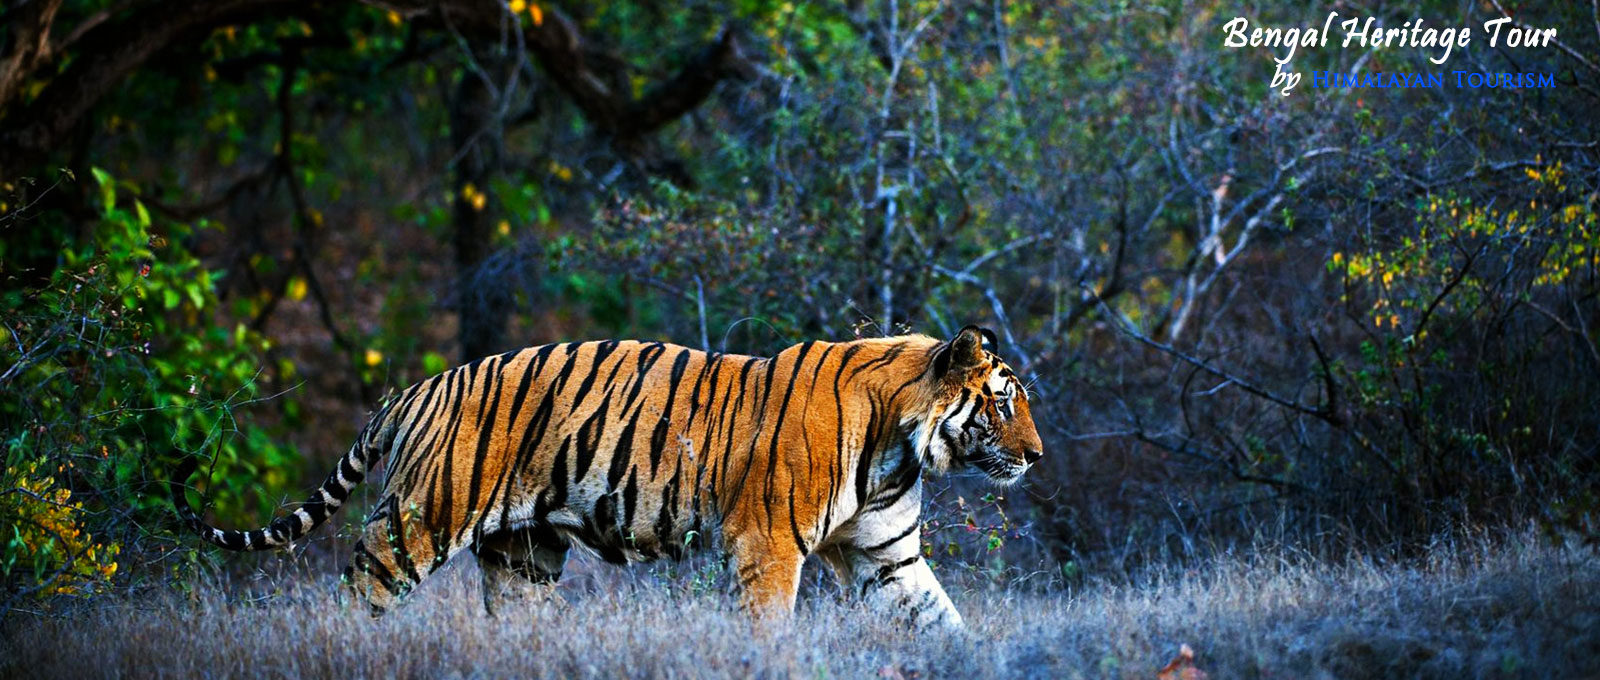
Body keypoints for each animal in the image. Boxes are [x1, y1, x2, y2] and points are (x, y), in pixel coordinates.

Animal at [175, 323, 1043, 624]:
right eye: (1004, 403)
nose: (1037, 454)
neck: (901, 445)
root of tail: (418, 387)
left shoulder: (886, 556)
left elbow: (943, 623)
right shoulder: (766, 546)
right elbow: (769, 632)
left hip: (522, 556)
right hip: (419, 521)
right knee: (358, 596)